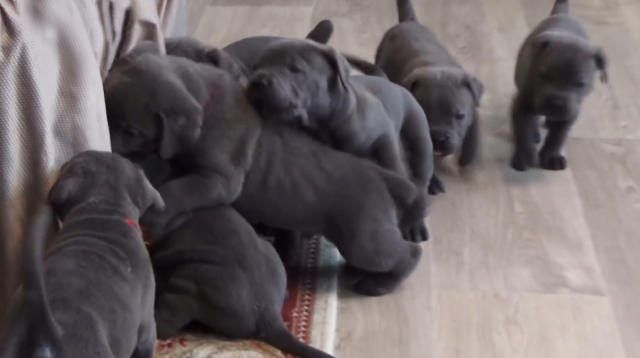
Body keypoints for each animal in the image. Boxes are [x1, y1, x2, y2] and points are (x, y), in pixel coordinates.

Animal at [105, 51, 424, 296]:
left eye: (131, 131)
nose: (109, 148)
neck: (205, 99)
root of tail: (384, 178)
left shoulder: (220, 180)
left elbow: (177, 191)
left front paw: (154, 214)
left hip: (365, 240)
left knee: (408, 254)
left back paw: (381, 284)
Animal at [372, 0, 482, 193]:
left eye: (460, 116)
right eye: (422, 114)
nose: (437, 138)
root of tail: (409, 22)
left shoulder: (473, 111)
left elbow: (474, 134)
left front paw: (468, 158)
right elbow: (424, 161)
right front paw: (433, 181)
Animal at [510, 0, 604, 172]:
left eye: (579, 84)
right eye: (543, 75)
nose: (556, 103)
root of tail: (563, 14)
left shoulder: (570, 114)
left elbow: (558, 136)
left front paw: (551, 156)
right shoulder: (522, 104)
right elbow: (523, 130)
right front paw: (524, 155)